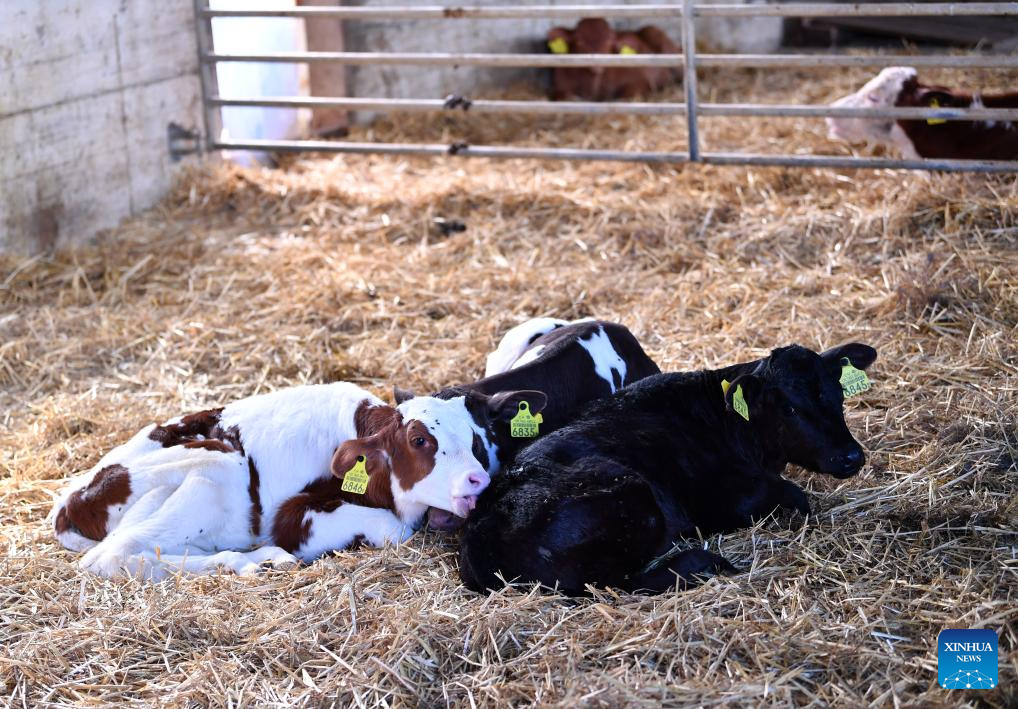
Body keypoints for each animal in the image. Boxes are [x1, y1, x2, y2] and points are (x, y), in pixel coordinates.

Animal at [460, 340, 875, 594]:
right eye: (788, 407)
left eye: (838, 394)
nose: (851, 456)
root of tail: (479, 531)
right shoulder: (722, 501)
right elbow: (796, 496)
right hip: (631, 497)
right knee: (617, 584)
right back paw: (704, 562)